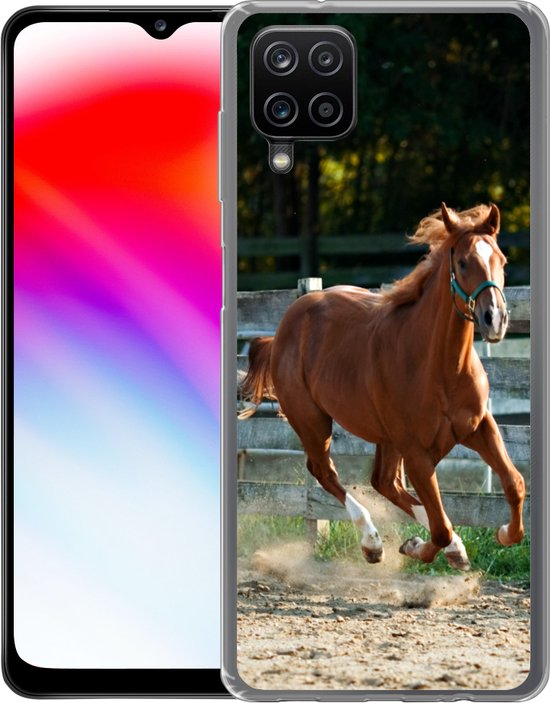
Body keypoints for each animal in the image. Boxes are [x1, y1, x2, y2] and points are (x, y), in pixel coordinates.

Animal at [240, 203, 526, 572]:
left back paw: (447, 548)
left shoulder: (479, 427)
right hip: (313, 421)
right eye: (463, 262)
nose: (495, 319)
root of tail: (283, 330)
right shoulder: (416, 452)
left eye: (501, 260)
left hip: (385, 439)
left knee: (384, 482)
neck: (441, 368)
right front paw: (417, 547)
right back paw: (373, 542)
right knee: (325, 472)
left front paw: (503, 534)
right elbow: (440, 527)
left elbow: (514, 484)